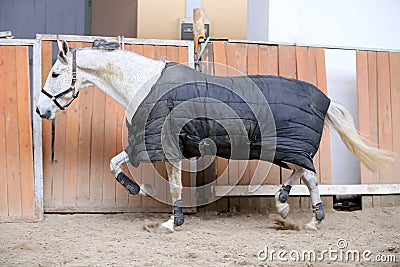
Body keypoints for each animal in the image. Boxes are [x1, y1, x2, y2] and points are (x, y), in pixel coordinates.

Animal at [35, 39, 394, 232]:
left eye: (54, 73)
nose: (40, 110)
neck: (145, 84)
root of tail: (325, 99)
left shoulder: (162, 145)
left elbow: (171, 185)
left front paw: (171, 221)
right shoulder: (153, 144)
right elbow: (114, 163)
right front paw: (138, 191)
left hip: (292, 146)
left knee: (310, 176)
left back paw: (312, 219)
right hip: (285, 147)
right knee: (302, 173)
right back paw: (283, 206)